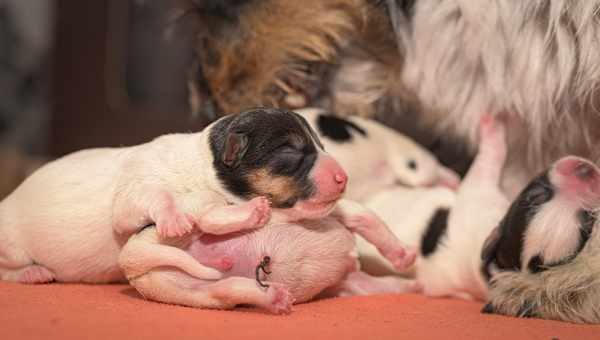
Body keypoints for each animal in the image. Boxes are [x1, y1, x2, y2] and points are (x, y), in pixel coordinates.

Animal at [117, 199, 418, 314]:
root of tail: (130, 260)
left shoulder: (350, 281)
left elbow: (383, 282)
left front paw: (411, 279)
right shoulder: (343, 210)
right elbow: (371, 220)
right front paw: (405, 255)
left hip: (192, 291)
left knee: (227, 289)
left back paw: (274, 297)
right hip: (188, 220)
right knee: (208, 218)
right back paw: (253, 212)